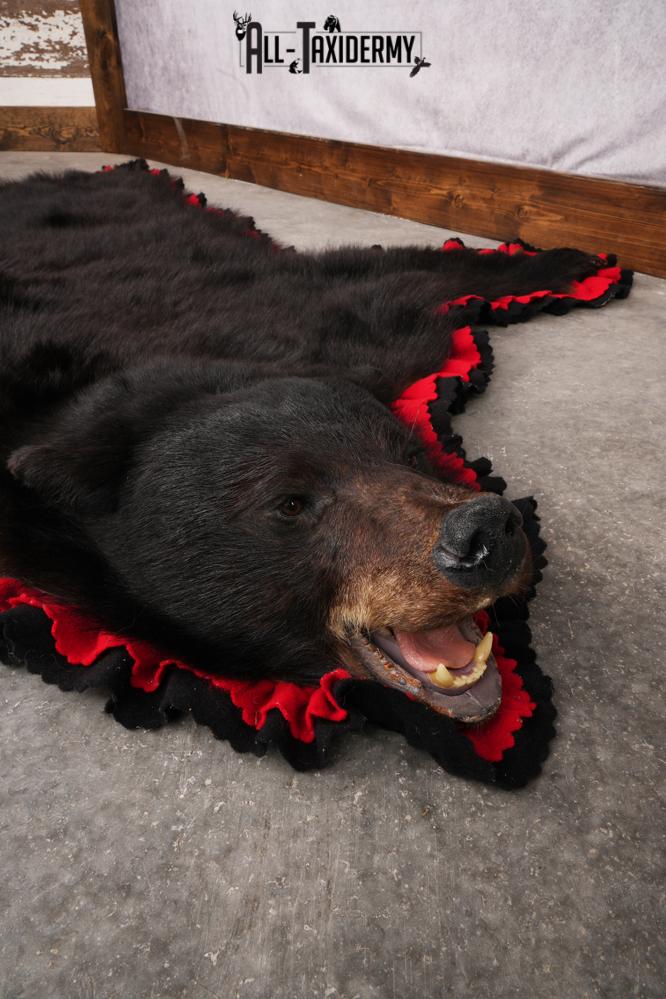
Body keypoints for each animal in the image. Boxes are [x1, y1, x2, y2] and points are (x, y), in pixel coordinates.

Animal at [0, 163, 603, 726]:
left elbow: (384, 274)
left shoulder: (322, 326)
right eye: (289, 503)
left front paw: (563, 258)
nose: (487, 533)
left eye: (410, 454)